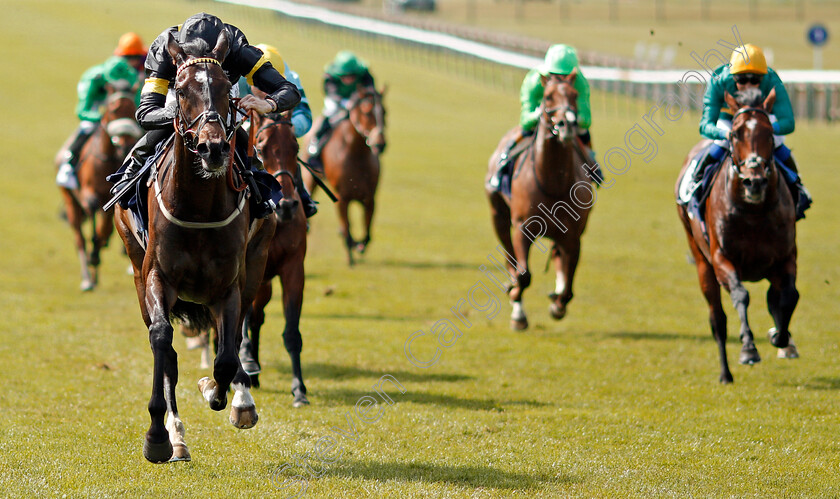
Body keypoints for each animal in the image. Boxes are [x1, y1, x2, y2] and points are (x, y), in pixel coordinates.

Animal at [57, 84, 141, 292]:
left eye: (132, 110)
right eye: (113, 110)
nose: (126, 143)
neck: (108, 159)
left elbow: (104, 231)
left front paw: (98, 250)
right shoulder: (89, 194)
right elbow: (94, 213)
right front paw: (93, 255)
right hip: (70, 202)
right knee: (79, 238)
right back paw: (88, 278)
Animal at [114, 31, 276, 462]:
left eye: (225, 91)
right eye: (182, 90)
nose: (213, 147)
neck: (200, 206)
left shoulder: (229, 286)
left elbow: (226, 356)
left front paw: (221, 395)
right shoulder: (156, 277)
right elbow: (161, 341)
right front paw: (157, 436)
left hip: (256, 263)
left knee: (232, 340)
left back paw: (240, 401)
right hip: (136, 266)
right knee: (166, 347)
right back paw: (175, 436)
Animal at [304, 86, 386, 266]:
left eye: (384, 111)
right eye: (367, 112)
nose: (380, 143)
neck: (357, 154)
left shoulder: (369, 198)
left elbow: (367, 233)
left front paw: (359, 245)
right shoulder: (342, 198)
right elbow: (347, 229)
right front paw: (350, 257)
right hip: (311, 176)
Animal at [486, 73, 596, 332]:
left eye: (575, 95)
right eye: (547, 97)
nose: (567, 124)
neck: (553, 180)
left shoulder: (573, 234)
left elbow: (569, 282)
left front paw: (558, 304)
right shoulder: (522, 228)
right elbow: (523, 274)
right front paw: (516, 304)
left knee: (557, 258)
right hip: (498, 215)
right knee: (510, 259)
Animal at [676, 88, 800, 384]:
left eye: (769, 133)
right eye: (734, 134)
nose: (754, 181)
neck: (753, 212)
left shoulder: (786, 255)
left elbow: (789, 296)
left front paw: (780, 338)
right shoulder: (722, 258)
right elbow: (741, 296)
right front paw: (748, 349)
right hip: (702, 263)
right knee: (717, 319)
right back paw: (726, 374)